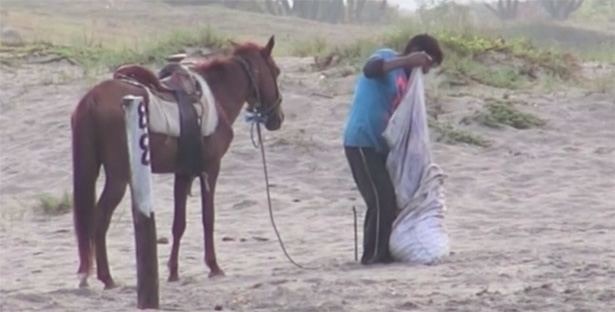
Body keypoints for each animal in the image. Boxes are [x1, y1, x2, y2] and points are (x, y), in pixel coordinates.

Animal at [72, 36, 284, 288]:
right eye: (276, 71)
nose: (278, 118)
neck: (217, 95)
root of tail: (91, 99)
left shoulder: (182, 173)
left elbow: (179, 224)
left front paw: (173, 271)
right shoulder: (211, 169)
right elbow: (208, 218)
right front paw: (213, 266)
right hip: (118, 178)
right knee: (100, 219)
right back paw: (107, 278)